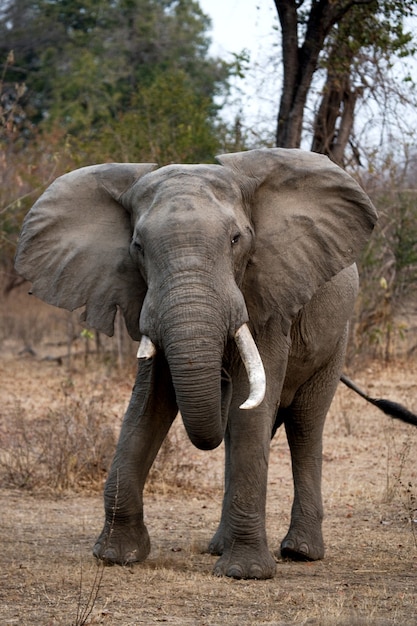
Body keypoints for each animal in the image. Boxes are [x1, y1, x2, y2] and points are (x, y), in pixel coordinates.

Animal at [13, 146, 376, 576]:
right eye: (137, 246)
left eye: (236, 239)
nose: (219, 379)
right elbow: (148, 404)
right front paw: (116, 556)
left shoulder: (269, 293)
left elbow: (251, 408)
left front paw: (245, 573)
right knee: (240, 428)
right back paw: (218, 547)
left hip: (337, 337)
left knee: (304, 424)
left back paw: (300, 551)